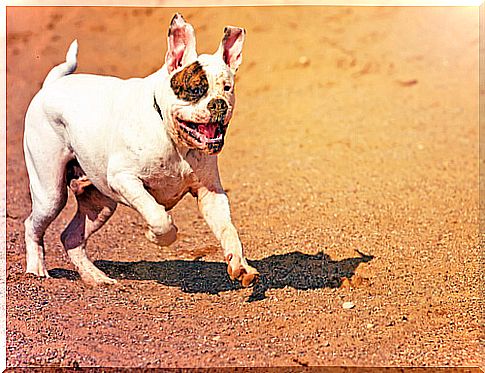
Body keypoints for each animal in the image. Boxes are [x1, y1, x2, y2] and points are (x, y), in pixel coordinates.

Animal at [22, 13, 260, 286]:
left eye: (227, 88)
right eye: (195, 89)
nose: (219, 104)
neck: (174, 141)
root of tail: (50, 86)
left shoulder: (210, 194)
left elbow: (228, 229)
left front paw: (240, 264)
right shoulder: (125, 179)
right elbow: (158, 217)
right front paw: (157, 236)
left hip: (99, 204)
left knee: (71, 237)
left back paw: (96, 278)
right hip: (50, 194)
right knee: (32, 226)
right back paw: (36, 270)